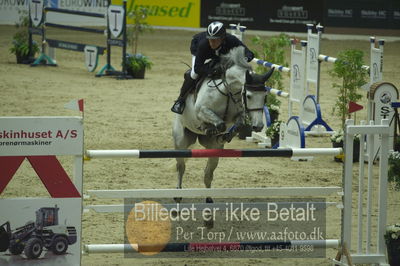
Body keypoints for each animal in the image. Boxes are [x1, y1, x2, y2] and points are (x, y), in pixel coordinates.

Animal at [173, 46, 276, 203]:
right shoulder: (201, 110)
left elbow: (237, 123)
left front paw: (224, 136)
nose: (258, 126)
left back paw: (209, 199)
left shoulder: (237, 114)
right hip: (181, 142)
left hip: (213, 150)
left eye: (265, 97)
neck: (228, 90)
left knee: (208, 173)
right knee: (181, 166)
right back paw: (178, 194)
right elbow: (218, 122)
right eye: (248, 96)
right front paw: (208, 128)